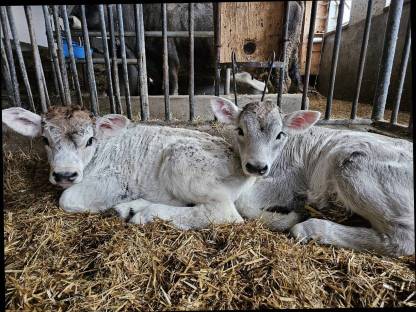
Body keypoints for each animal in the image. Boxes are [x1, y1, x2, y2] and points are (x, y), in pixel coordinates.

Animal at [213, 97, 414, 256]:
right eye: (240, 130)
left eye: (279, 134)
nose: (257, 166)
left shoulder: (290, 182)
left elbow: (243, 201)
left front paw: (289, 216)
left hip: (351, 166)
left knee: (403, 239)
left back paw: (307, 227)